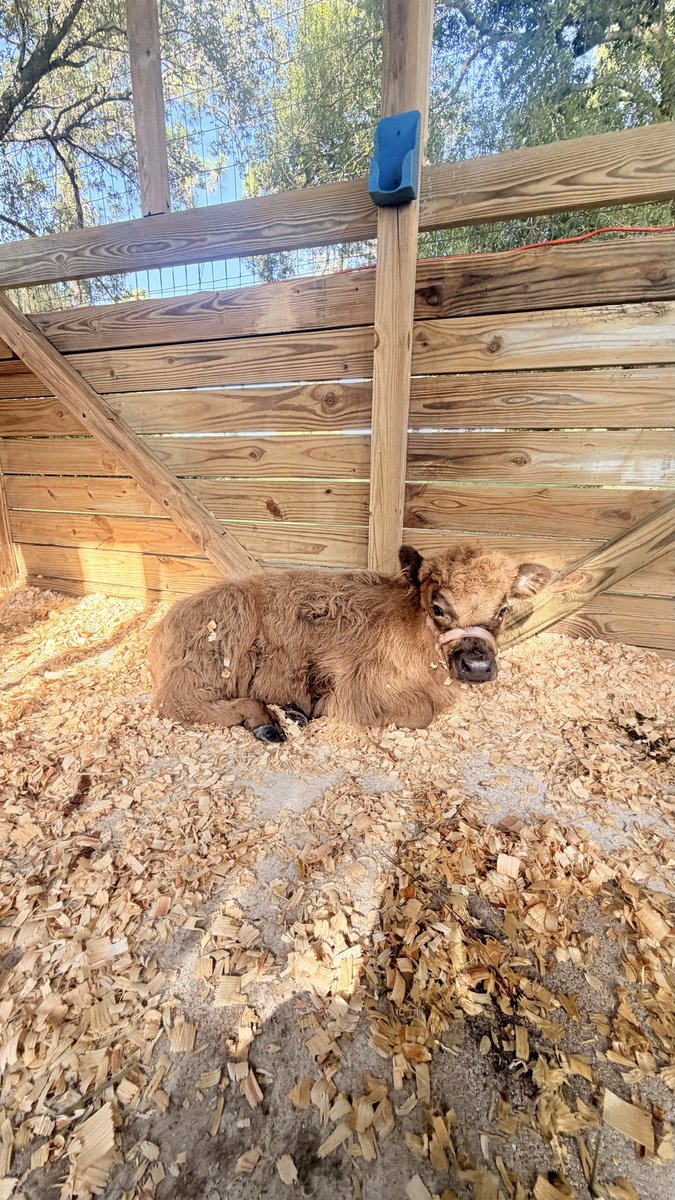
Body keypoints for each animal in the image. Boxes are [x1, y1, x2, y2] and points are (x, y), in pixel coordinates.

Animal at [149, 542, 551, 743]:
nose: (477, 666)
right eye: (438, 606)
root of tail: (170, 619)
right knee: (176, 705)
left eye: (503, 609)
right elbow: (420, 714)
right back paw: (268, 721)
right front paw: (320, 707)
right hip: (213, 661)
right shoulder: (362, 686)